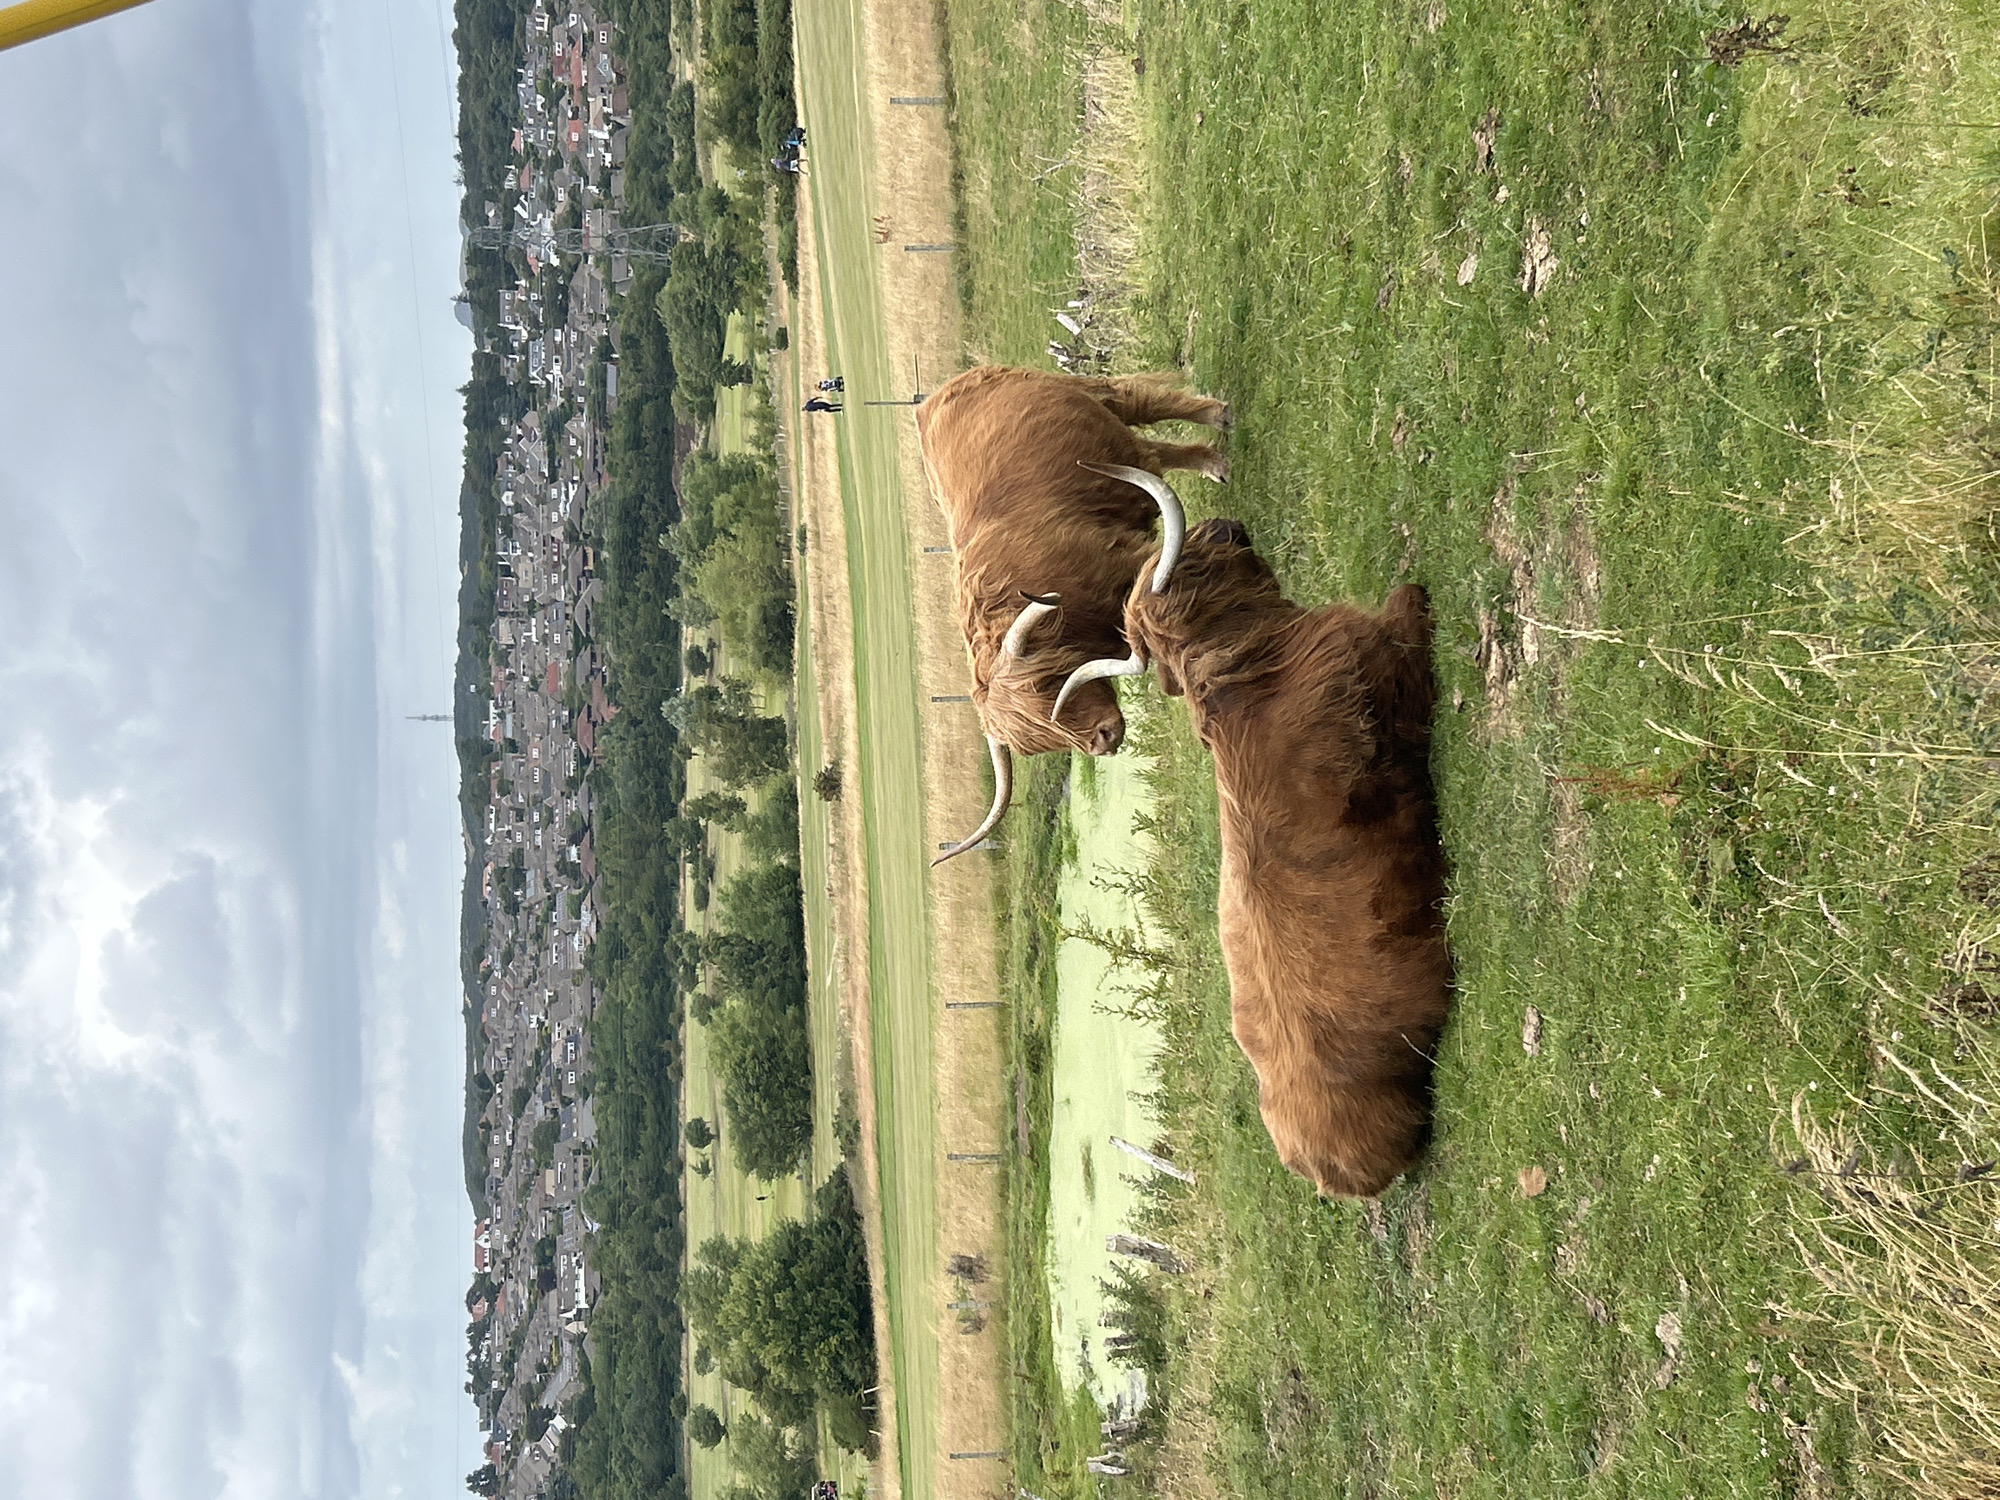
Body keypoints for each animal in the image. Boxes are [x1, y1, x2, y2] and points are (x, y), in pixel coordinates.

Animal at [916, 366, 1230, 864]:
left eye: (1048, 687)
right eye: (1037, 743)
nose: (1103, 740)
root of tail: (942, 392)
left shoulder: (1125, 558)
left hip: (1098, 401)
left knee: (1140, 408)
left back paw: (1217, 426)